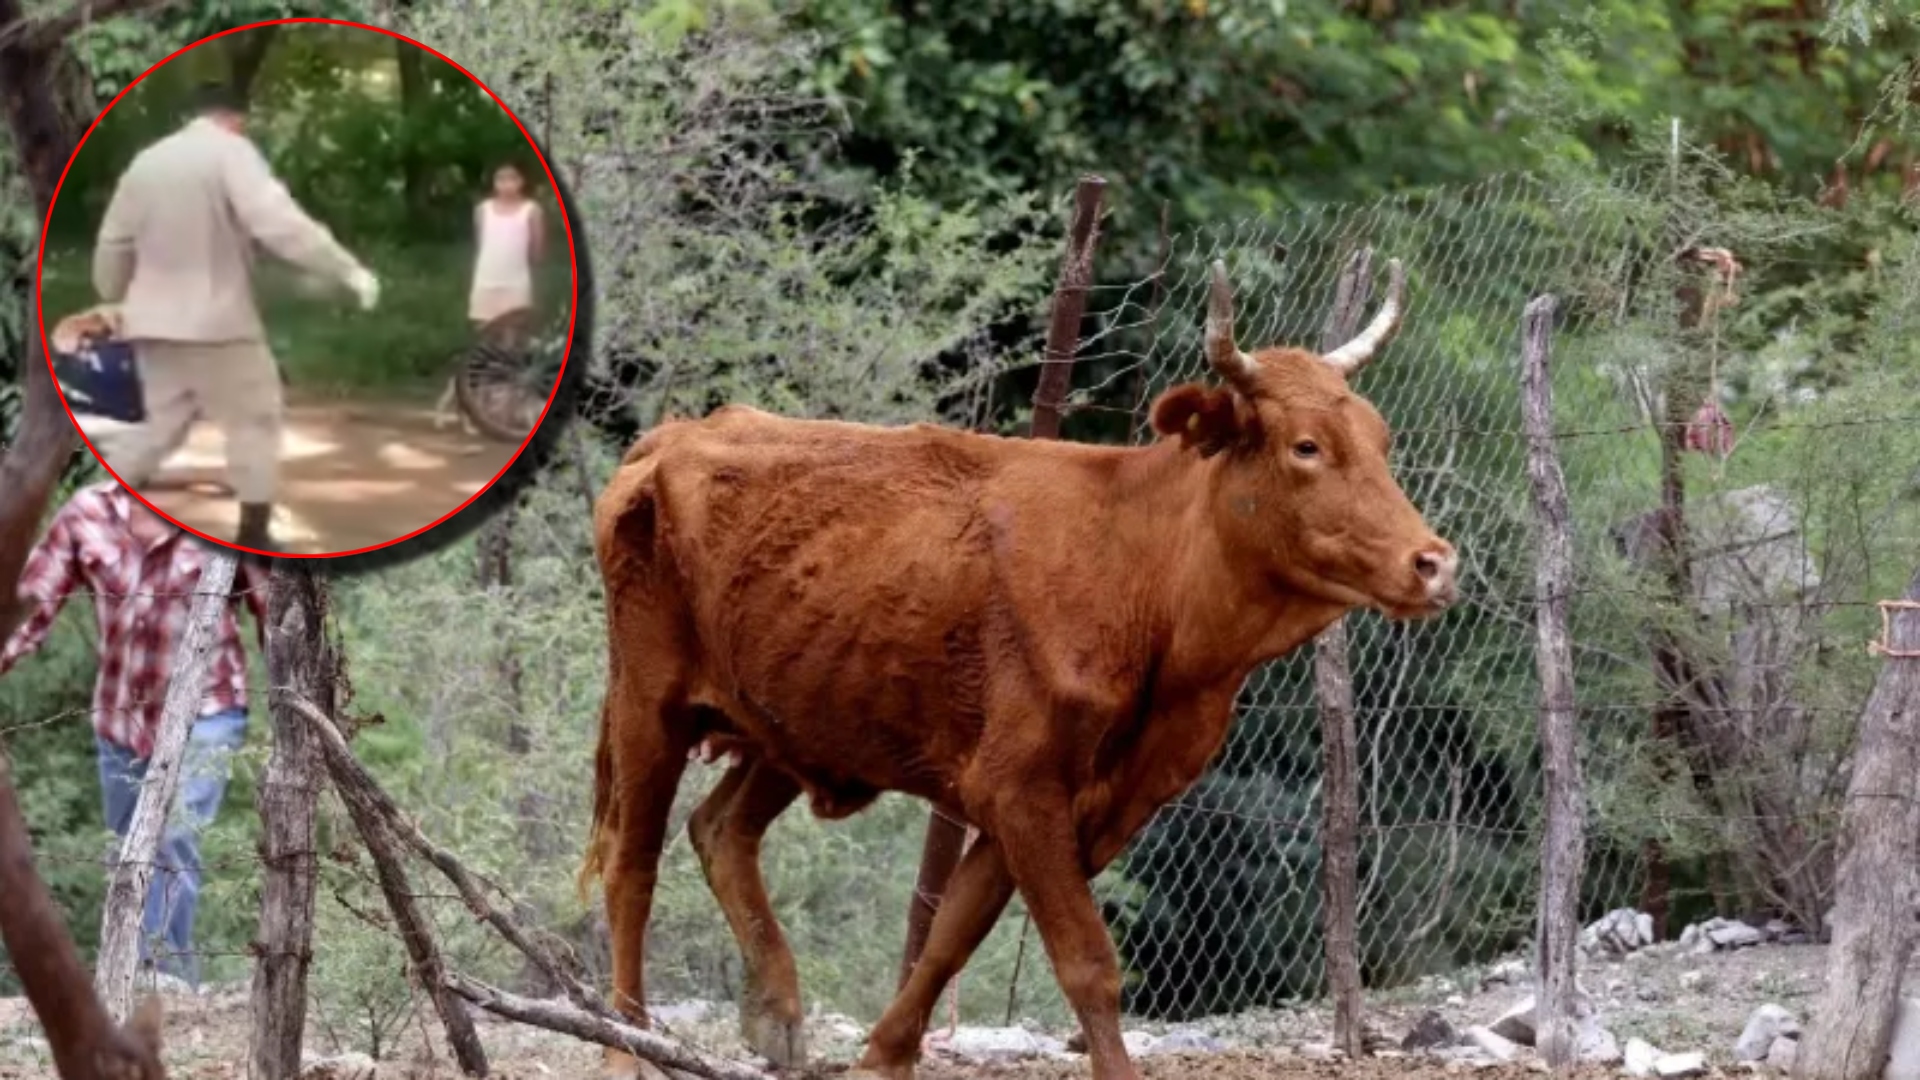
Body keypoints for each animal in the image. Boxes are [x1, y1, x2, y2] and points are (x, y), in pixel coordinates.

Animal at [578, 257, 1458, 1080]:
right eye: (1306, 446)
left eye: (1380, 441)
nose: (1433, 563)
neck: (1140, 572)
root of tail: (674, 437)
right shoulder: (1024, 788)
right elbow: (1088, 963)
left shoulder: (1067, 799)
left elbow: (951, 933)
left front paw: (885, 1054)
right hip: (649, 701)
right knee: (633, 867)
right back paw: (626, 1046)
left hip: (800, 714)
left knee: (722, 829)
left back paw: (776, 1015)